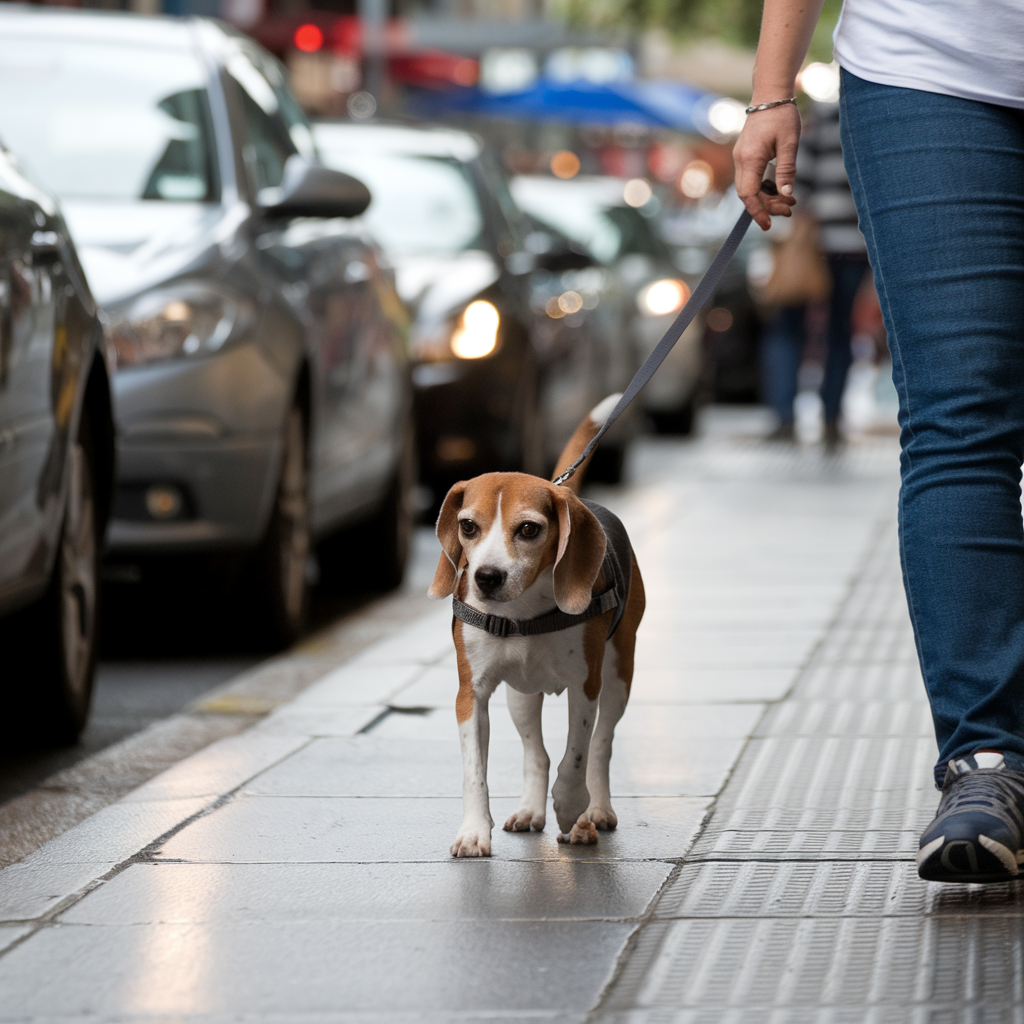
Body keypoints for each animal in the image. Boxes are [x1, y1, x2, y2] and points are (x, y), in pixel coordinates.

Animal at [428, 395, 643, 860]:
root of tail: (571, 490)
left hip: (619, 678)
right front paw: (474, 832)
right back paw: (530, 809)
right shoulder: (471, 695)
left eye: (528, 529)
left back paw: (593, 812)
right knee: (537, 753)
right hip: (521, 696)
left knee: (601, 745)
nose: (487, 577)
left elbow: (576, 756)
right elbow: (476, 772)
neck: (523, 612)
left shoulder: (586, 686)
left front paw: (570, 807)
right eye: (467, 526)